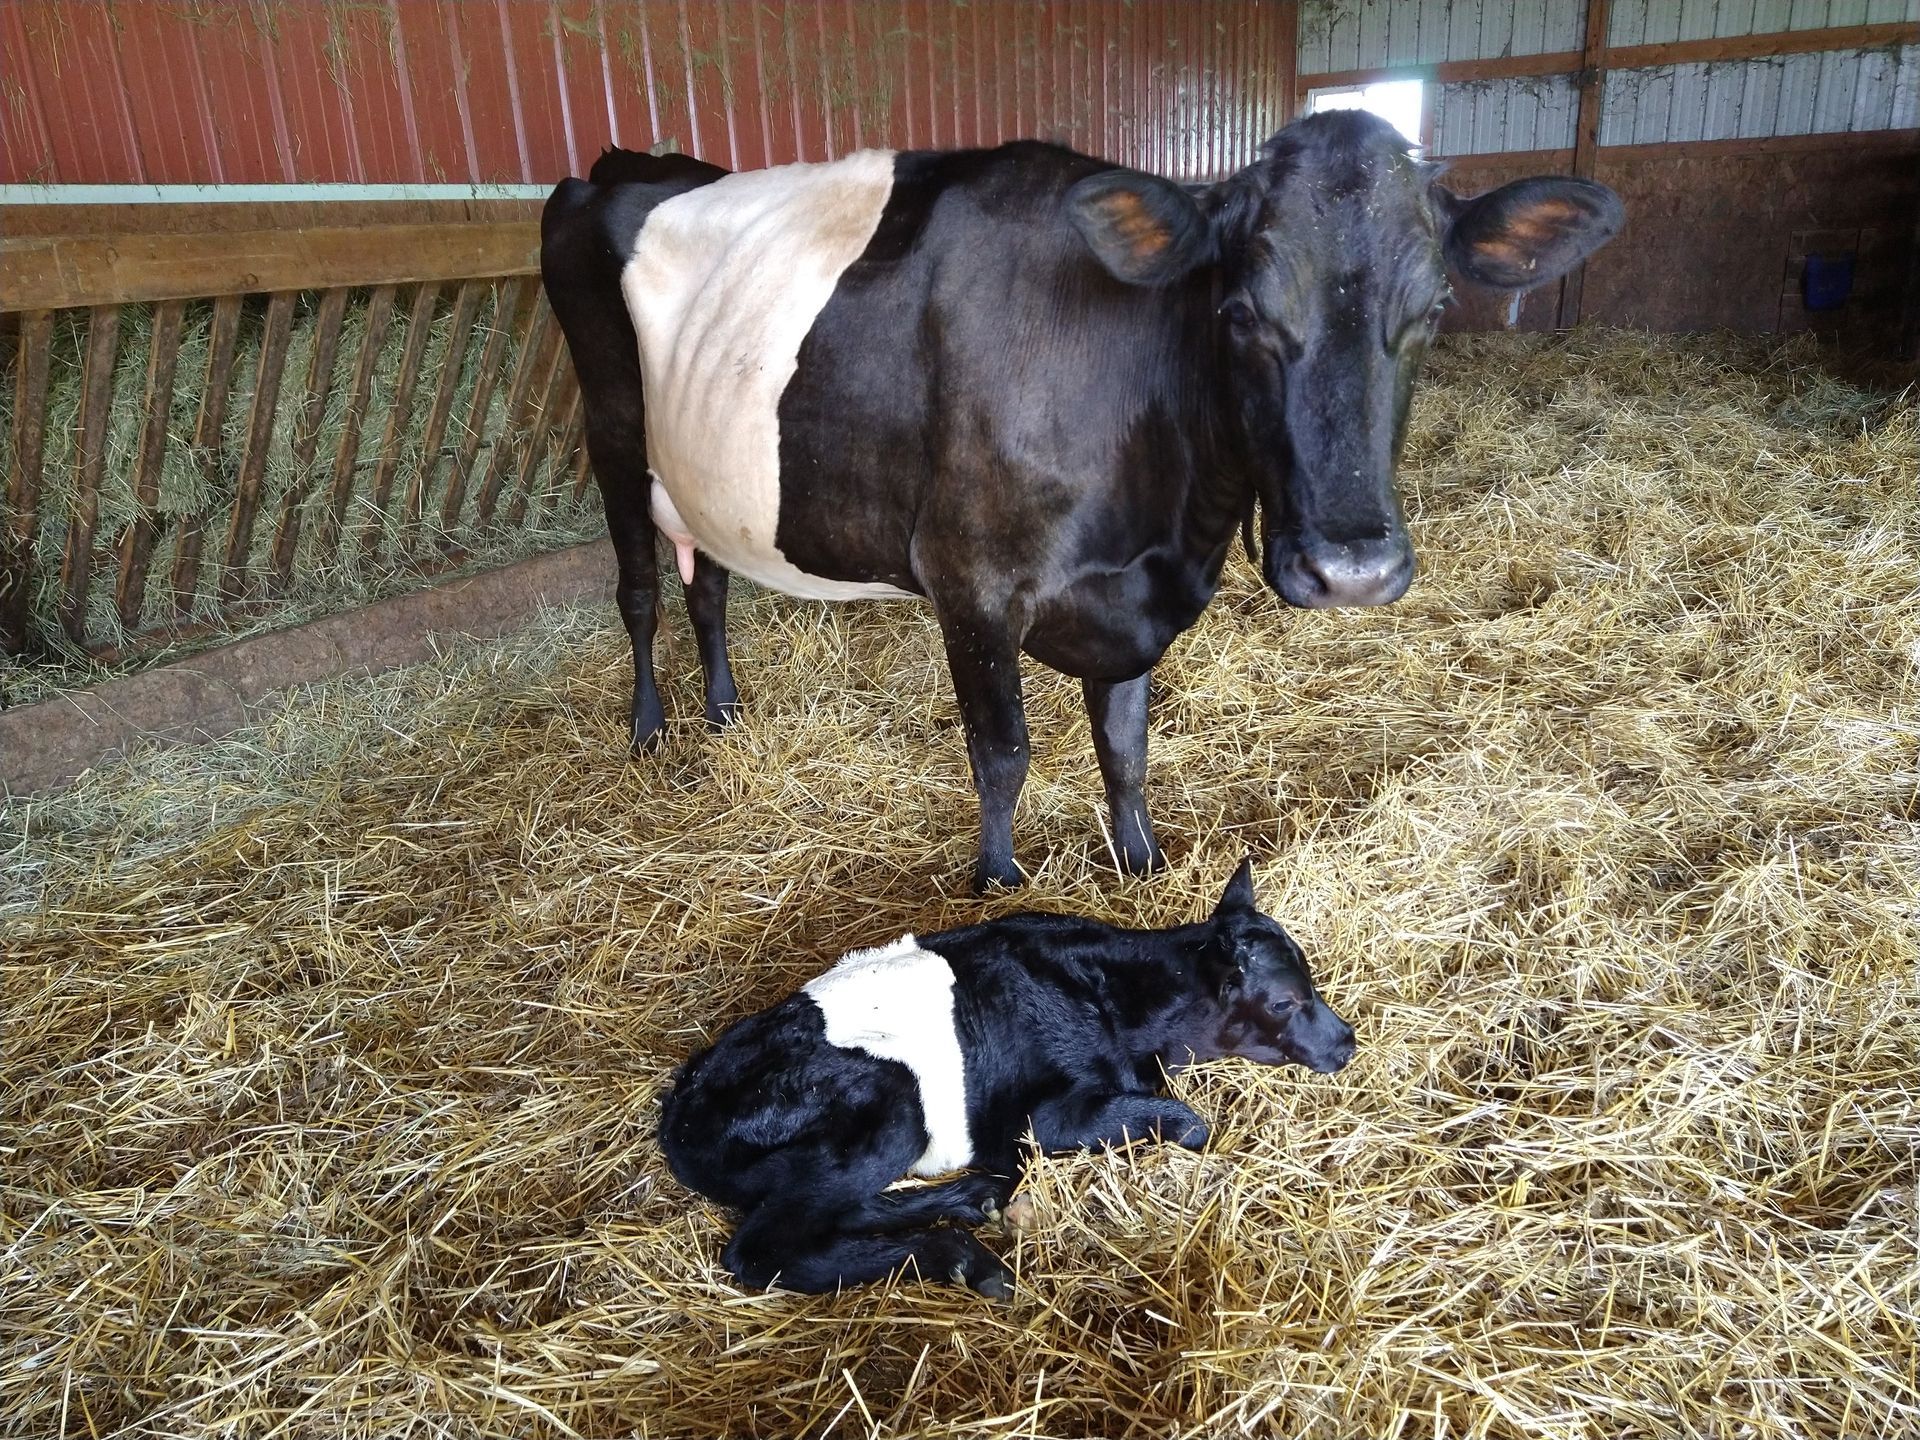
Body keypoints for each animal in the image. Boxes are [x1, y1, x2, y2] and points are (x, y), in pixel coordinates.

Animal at [541, 115, 1623, 892]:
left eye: (1435, 310)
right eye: (1239, 313)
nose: (1353, 569)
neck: (1163, 529)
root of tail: (625, 161)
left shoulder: (1133, 598)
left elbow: (1126, 748)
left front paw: (1140, 863)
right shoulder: (971, 581)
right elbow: (1003, 754)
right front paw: (996, 881)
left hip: (699, 477)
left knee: (709, 588)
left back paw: (725, 714)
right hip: (613, 433)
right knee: (640, 593)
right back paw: (651, 729)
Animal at [659, 859, 1357, 1295]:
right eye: (1285, 1000)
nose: (1347, 1042)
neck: (1121, 1003)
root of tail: (681, 1112)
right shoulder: (1037, 1120)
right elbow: (1189, 1123)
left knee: (838, 1210)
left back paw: (977, 1200)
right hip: (889, 1107)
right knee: (764, 1250)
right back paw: (965, 1258)